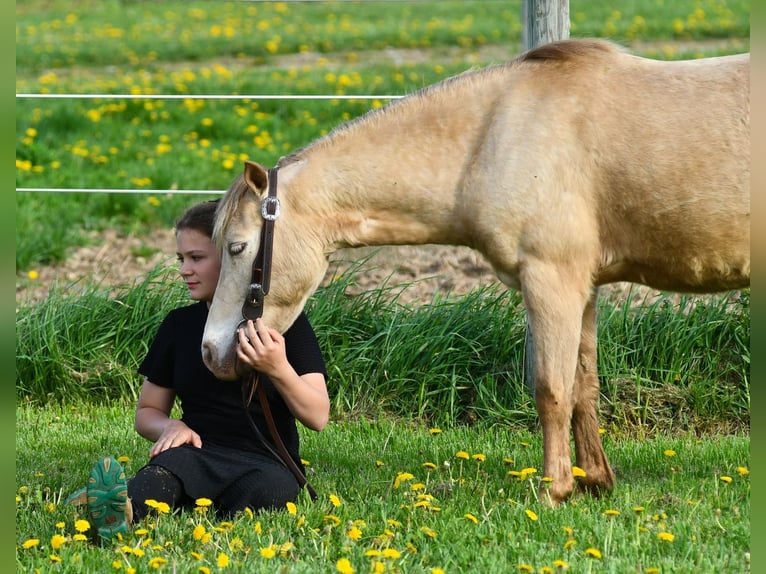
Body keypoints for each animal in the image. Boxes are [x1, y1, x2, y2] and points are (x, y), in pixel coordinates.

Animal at [202, 39, 750, 506]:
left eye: (237, 247)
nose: (210, 352)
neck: (493, 137)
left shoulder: (551, 282)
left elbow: (551, 390)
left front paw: (554, 491)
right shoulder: (584, 287)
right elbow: (584, 387)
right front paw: (594, 481)